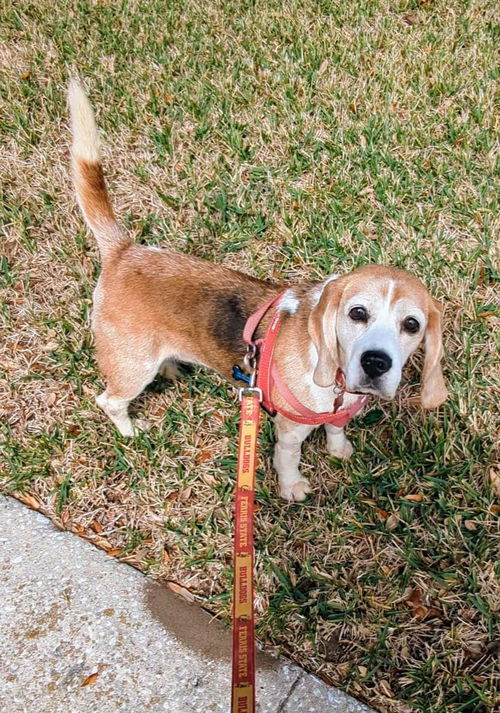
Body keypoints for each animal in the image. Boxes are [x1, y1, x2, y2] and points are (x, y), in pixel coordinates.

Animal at [68, 82, 448, 500]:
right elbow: (288, 458)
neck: (336, 382)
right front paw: (293, 486)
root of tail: (125, 251)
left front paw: (339, 449)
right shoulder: (290, 429)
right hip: (130, 367)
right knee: (110, 401)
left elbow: (335, 428)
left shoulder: (339, 412)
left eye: (412, 325)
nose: (376, 362)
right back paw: (130, 431)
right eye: (357, 313)